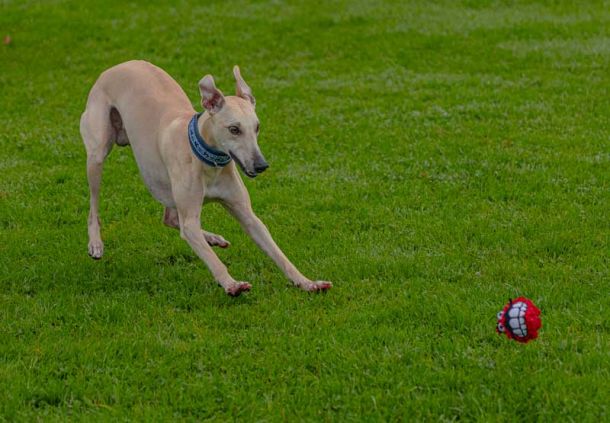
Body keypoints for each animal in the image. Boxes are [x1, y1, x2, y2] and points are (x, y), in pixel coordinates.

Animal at [80, 60, 332, 296]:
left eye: (257, 127)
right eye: (234, 129)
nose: (261, 165)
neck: (209, 160)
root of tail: (119, 65)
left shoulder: (248, 216)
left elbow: (278, 253)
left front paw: (307, 282)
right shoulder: (191, 220)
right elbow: (212, 258)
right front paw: (232, 285)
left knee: (171, 218)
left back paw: (213, 238)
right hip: (97, 154)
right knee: (94, 204)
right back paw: (95, 243)